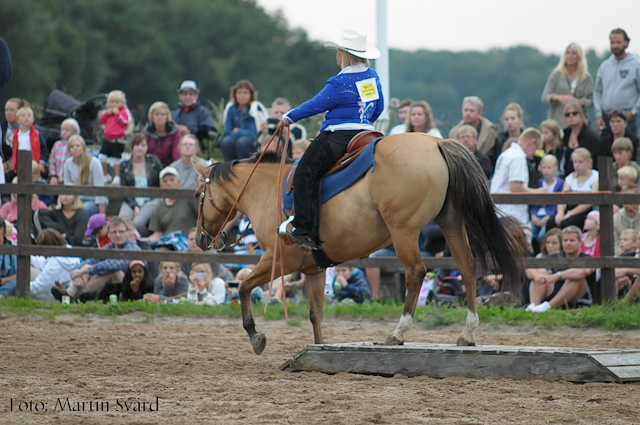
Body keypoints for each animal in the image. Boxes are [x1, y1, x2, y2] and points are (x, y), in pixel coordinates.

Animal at [192, 132, 524, 354]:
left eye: (197, 195)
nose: (199, 238)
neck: (266, 189)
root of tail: (437, 143)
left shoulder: (278, 259)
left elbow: (244, 287)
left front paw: (255, 336)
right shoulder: (314, 269)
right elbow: (316, 312)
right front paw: (319, 348)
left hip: (403, 231)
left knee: (416, 272)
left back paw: (398, 333)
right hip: (452, 222)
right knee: (467, 267)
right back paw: (467, 333)